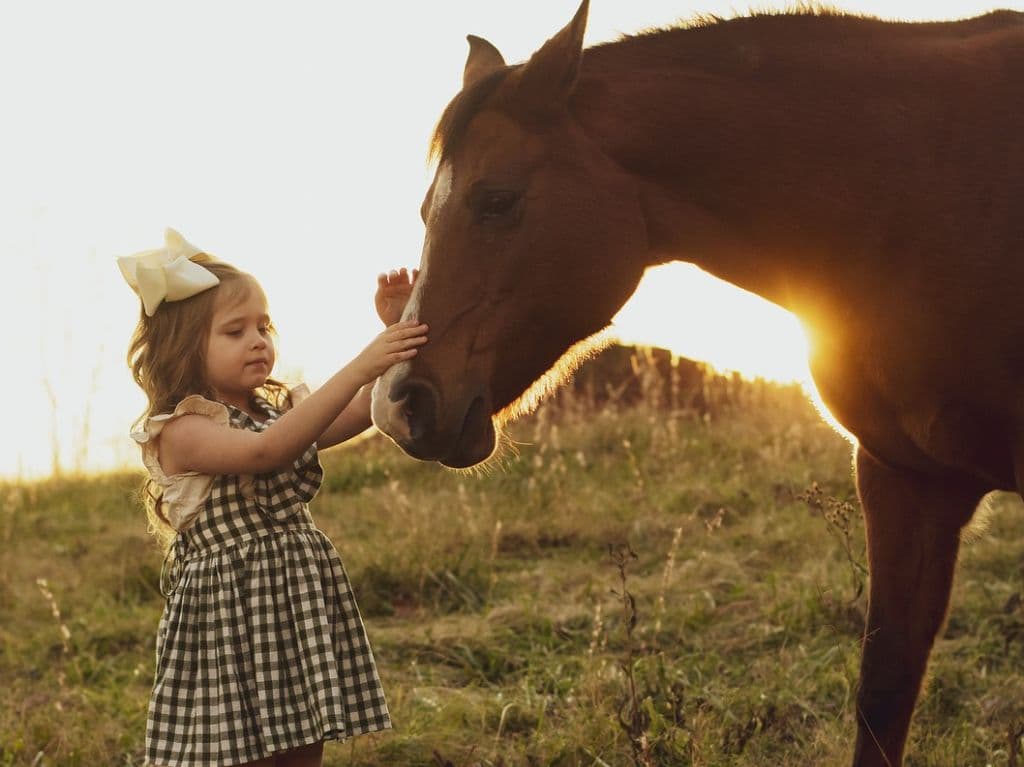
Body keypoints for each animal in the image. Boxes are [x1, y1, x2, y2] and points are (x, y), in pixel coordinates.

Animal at [372, 4, 1024, 761]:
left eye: (497, 199)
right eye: (428, 211)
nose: (399, 403)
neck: (926, 192)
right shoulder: (904, 481)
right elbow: (881, 701)